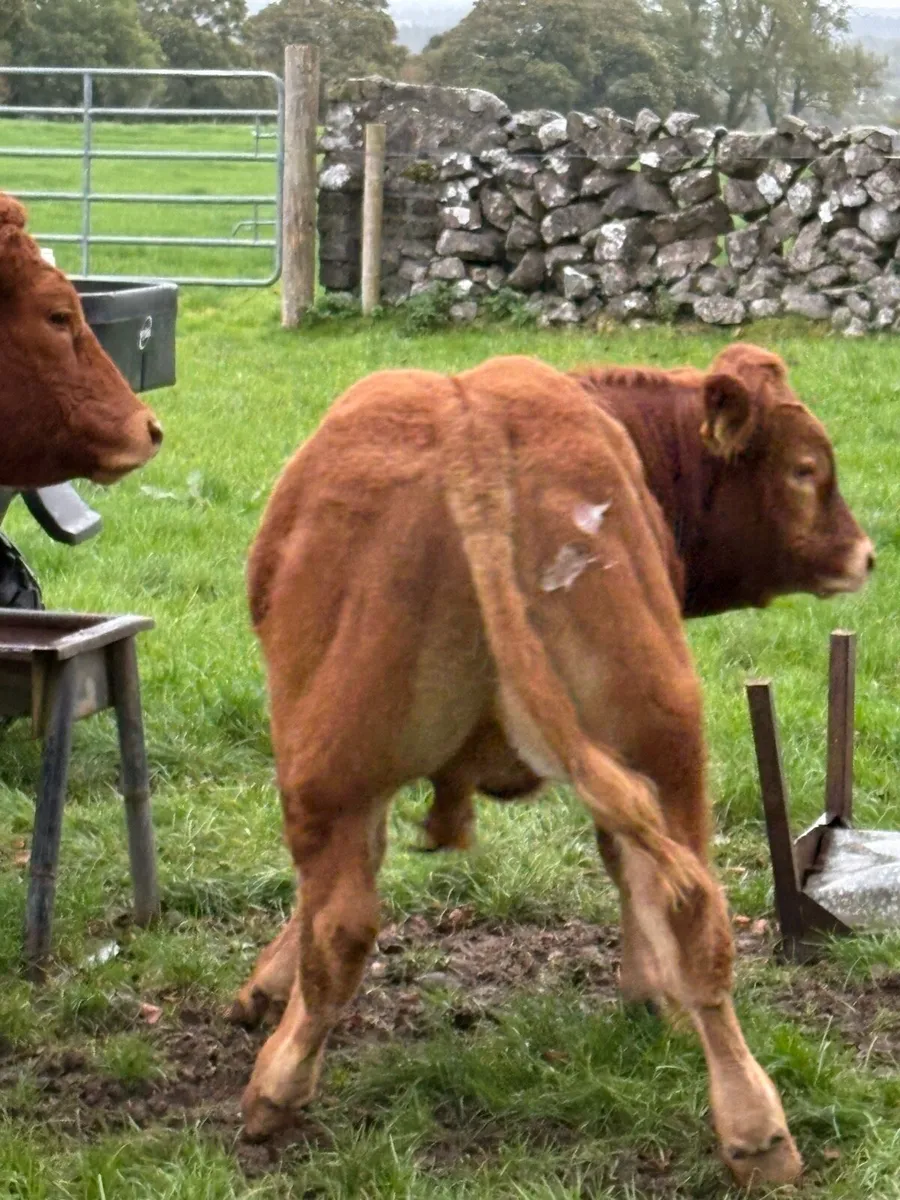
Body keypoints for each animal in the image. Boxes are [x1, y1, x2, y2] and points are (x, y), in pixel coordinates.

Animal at [232, 348, 872, 1189]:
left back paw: (275, 1090)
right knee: (693, 912)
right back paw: (758, 1132)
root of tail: (471, 426)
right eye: (805, 470)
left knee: (343, 926)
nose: (866, 553)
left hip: (335, 760)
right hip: (656, 740)